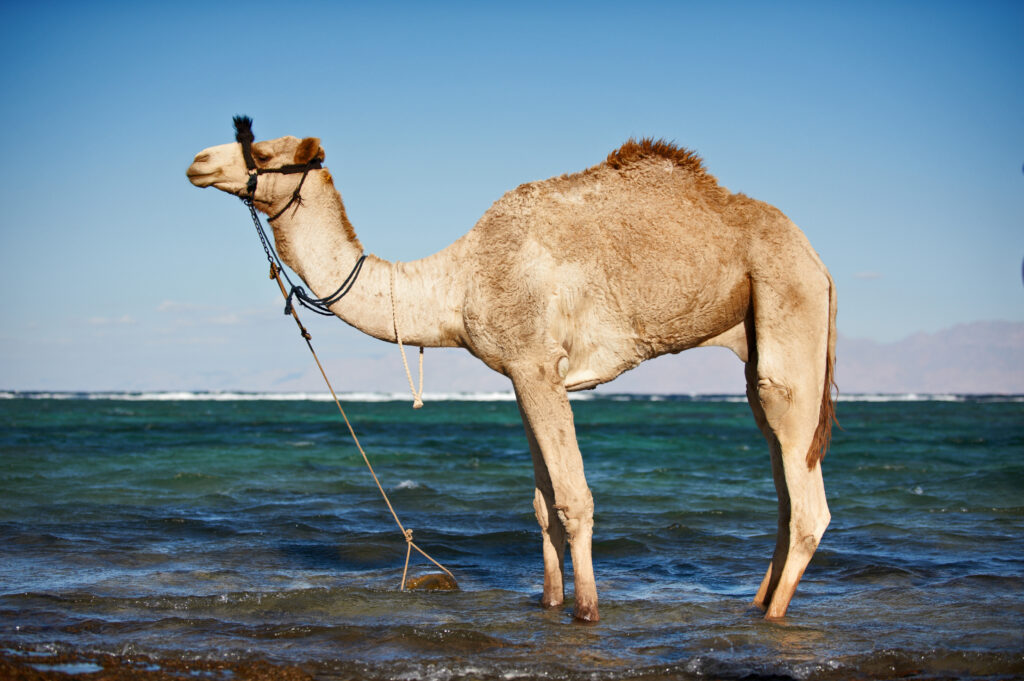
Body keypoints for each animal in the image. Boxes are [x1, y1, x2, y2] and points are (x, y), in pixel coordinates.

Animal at [188, 122, 835, 622]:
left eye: (260, 151)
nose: (198, 161)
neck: (456, 283)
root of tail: (820, 263)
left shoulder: (536, 363)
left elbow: (573, 498)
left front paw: (586, 612)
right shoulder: (521, 373)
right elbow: (542, 505)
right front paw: (549, 604)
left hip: (787, 300)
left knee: (807, 496)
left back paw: (774, 616)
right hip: (755, 336)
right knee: (783, 487)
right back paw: (755, 604)